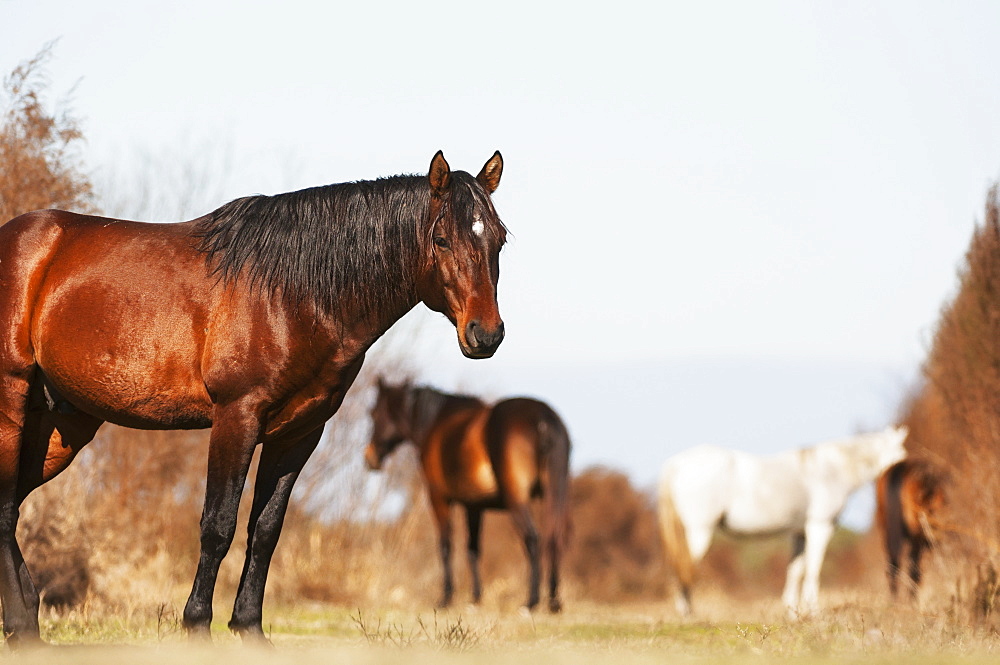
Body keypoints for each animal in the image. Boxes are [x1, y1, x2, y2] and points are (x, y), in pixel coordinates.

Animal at [0, 153, 504, 644]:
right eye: (441, 239)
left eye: (498, 240)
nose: (486, 335)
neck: (291, 294)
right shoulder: (236, 418)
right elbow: (218, 525)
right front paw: (196, 626)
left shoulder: (299, 432)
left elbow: (265, 530)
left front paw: (248, 626)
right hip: (12, 403)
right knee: (6, 508)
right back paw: (23, 625)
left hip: (59, 426)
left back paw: (26, 625)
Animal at [366, 378, 572, 612]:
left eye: (373, 413)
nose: (370, 458)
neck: (437, 420)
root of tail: (543, 418)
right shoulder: (474, 506)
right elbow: (473, 549)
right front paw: (475, 597)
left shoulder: (438, 497)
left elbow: (446, 545)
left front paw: (446, 598)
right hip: (556, 494)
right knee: (555, 538)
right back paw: (554, 601)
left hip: (517, 500)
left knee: (532, 537)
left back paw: (531, 601)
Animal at [660, 426, 912, 616]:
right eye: (900, 454)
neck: (831, 471)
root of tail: (676, 465)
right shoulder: (820, 526)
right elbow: (813, 569)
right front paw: (813, 611)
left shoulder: (799, 532)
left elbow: (795, 570)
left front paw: (792, 612)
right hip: (699, 531)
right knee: (684, 567)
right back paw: (688, 614)